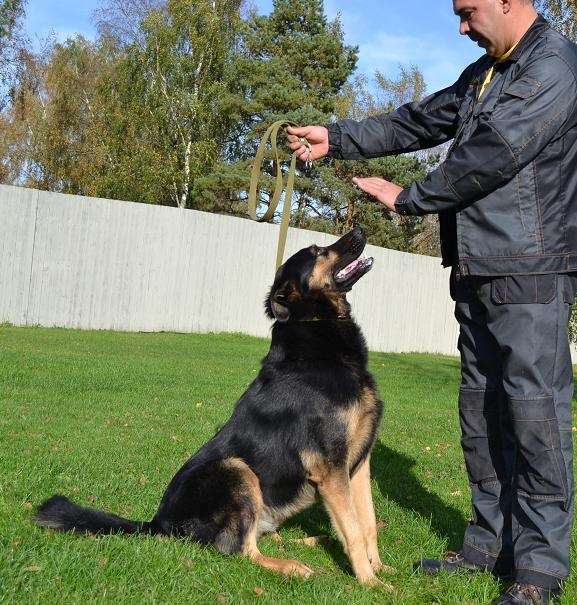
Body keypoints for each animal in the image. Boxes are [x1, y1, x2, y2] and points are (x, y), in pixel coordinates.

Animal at [34, 227, 384, 585]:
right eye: (316, 251)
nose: (359, 230)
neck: (313, 324)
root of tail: (158, 523)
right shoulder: (330, 467)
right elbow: (354, 530)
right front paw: (371, 584)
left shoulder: (358, 463)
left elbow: (367, 523)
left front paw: (380, 570)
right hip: (236, 470)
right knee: (241, 549)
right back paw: (291, 565)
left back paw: (308, 542)